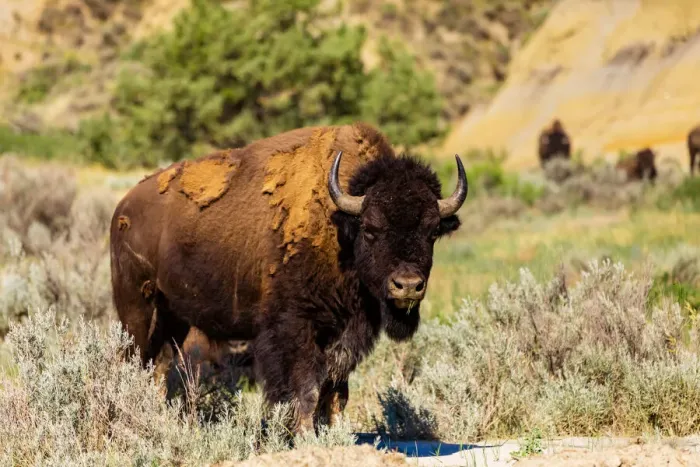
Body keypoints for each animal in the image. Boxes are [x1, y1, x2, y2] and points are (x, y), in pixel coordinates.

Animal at [110, 123, 468, 434]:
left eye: (432, 231)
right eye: (371, 228)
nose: (407, 285)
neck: (341, 225)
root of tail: (123, 207)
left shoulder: (347, 333)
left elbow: (336, 390)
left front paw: (334, 433)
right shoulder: (294, 328)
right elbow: (305, 388)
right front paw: (304, 434)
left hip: (174, 317)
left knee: (159, 366)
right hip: (137, 309)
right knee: (133, 361)